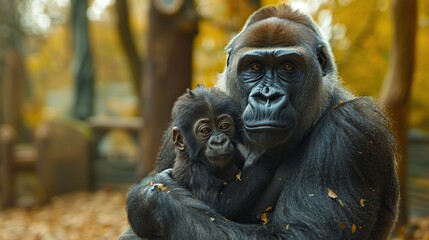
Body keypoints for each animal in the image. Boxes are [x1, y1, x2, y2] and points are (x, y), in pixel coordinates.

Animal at [123, 3, 398, 240]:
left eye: (288, 67)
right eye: (254, 67)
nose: (267, 96)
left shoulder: (351, 126)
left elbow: (297, 235)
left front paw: (150, 198)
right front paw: (151, 193)